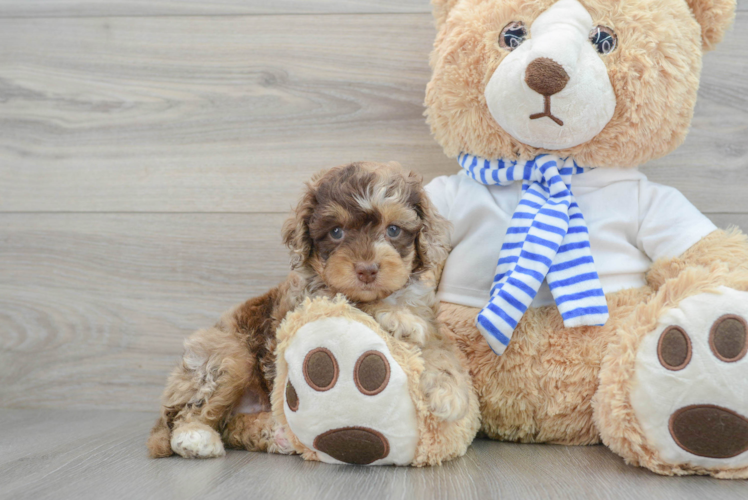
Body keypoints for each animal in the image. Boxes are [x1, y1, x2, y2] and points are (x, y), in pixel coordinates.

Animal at [148, 162, 470, 458]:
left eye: (393, 230)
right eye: (336, 232)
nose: (367, 270)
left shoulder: (428, 315)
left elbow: (440, 349)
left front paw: (449, 392)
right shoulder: (309, 299)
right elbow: (354, 301)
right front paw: (398, 318)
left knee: (232, 426)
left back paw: (276, 435)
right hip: (227, 357)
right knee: (188, 413)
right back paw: (195, 437)